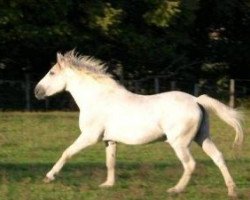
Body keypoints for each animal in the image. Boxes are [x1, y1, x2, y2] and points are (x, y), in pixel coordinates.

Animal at [34, 50, 243, 197]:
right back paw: (232, 191)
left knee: (190, 164)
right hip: (203, 137)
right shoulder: (109, 140)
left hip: (180, 143)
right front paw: (108, 185)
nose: (37, 91)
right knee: (218, 158)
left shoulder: (89, 136)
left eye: (52, 73)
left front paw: (48, 177)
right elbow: (110, 162)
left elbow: (67, 152)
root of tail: (196, 100)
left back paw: (175, 190)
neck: (98, 98)